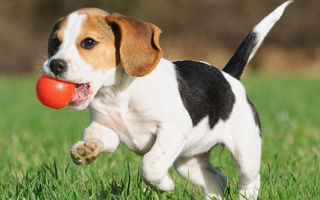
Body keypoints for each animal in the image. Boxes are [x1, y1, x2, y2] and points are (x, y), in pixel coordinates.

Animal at [41, 1, 292, 198]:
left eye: (89, 42)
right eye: (55, 42)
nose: (54, 65)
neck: (119, 93)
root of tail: (228, 76)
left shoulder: (172, 129)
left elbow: (151, 164)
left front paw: (164, 185)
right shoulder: (107, 129)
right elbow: (95, 135)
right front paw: (87, 149)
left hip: (246, 151)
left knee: (249, 181)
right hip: (188, 162)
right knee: (217, 181)